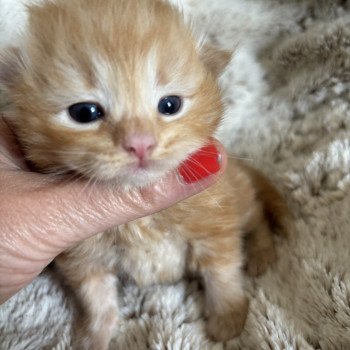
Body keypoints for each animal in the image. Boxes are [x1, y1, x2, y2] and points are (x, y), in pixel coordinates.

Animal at [0, 0, 290, 348]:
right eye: (85, 113)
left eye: (170, 105)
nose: (140, 144)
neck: (140, 222)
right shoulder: (84, 256)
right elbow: (95, 297)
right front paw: (94, 334)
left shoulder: (215, 225)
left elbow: (222, 273)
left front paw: (228, 316)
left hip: (239, 197)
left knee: (257, 215)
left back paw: (261, 253)